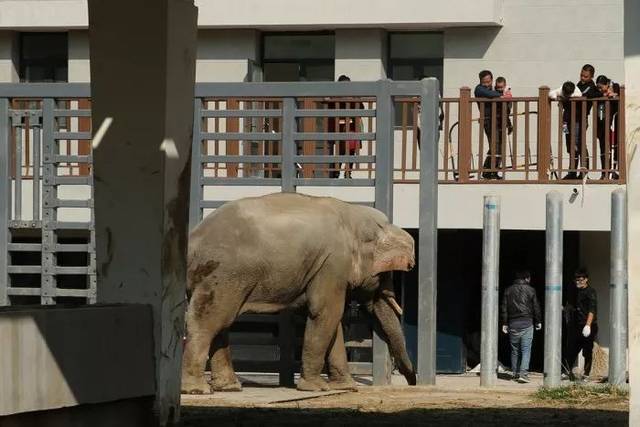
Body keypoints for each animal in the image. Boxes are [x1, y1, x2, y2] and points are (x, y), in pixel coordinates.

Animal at [182, 193, 418, 394]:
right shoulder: (332, 264)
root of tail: (194, 238)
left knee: (221, 324)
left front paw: (346, 387)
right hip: (222, 274)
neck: (356, 217)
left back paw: (229, 387)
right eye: (384, 275)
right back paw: (197, 390)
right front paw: (316, 388)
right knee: (209, 322)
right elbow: (325, 313)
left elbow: (332, 320)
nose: (412, 382)